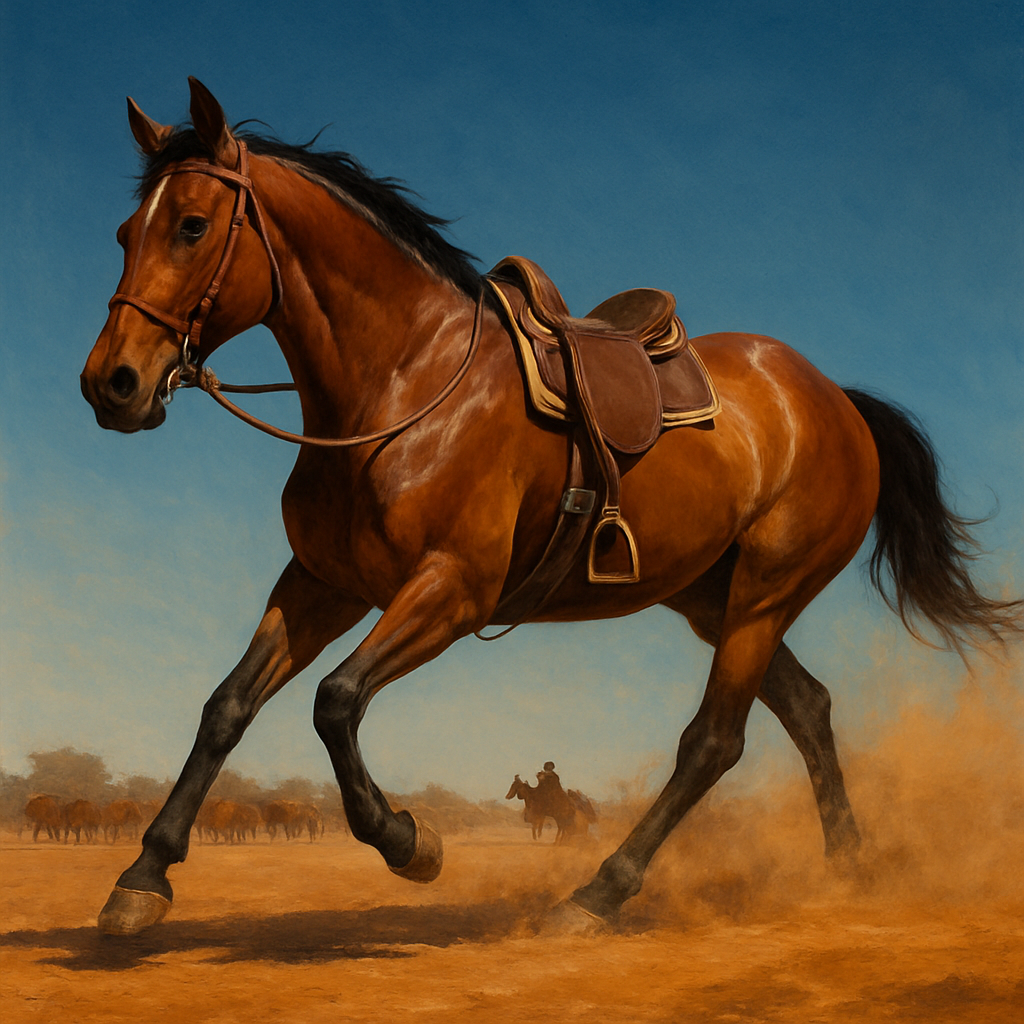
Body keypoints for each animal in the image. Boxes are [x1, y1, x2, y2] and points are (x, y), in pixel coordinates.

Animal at [80, 79, 1022, 937]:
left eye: (191, 225)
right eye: (127, 233)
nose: (110, 384)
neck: (406, 384)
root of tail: (834, 399)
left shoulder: (452, 592)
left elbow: (336, 700)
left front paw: (409, 843)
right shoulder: (324, 583)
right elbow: (227, 707)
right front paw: (143, 876)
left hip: (766, 591)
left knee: (715, 741)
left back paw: (598, 894)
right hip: (713, 598)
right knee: (808, 710)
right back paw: (849, 869)